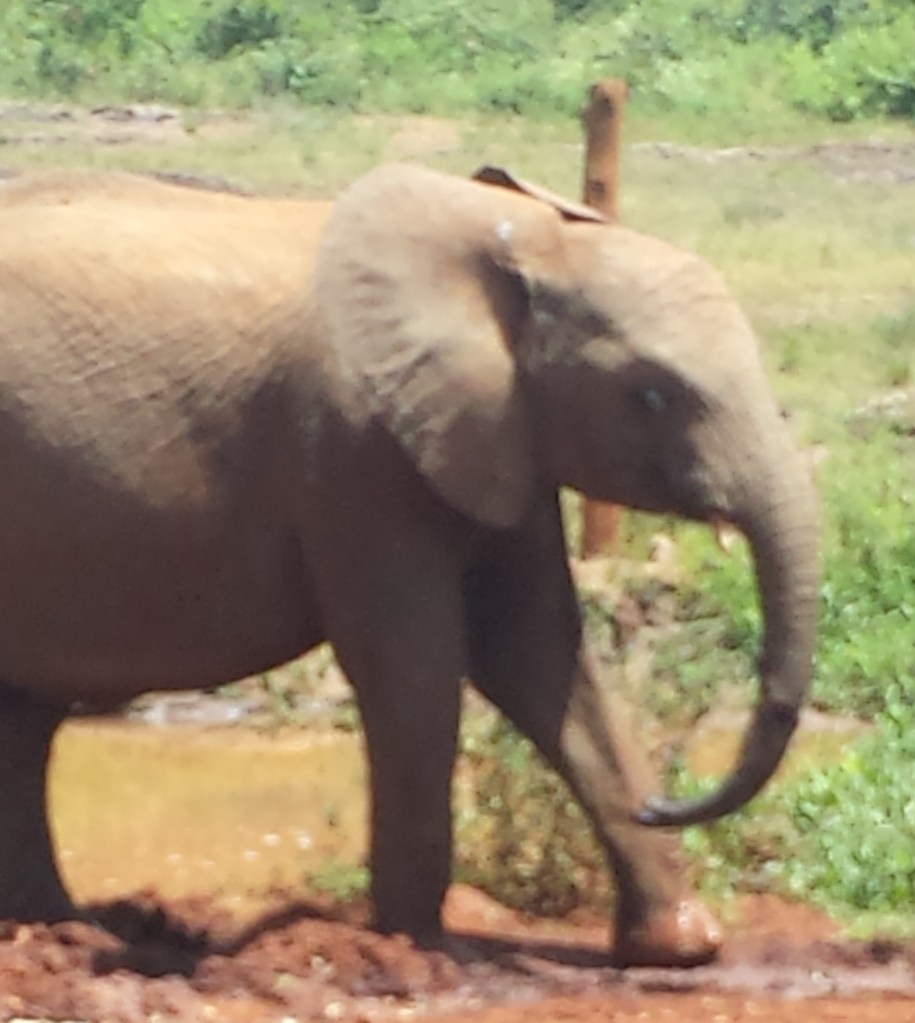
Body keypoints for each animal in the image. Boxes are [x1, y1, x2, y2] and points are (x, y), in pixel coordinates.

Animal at [0, 162, 818, 967]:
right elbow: (416, 662)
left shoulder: (500, 432)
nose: (662, 802)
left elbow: (537, 652)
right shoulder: (355, 449)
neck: (524, 241)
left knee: (27, 717)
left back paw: (58, 927)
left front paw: (681, 947)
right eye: (651, 394)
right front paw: (407, 942)